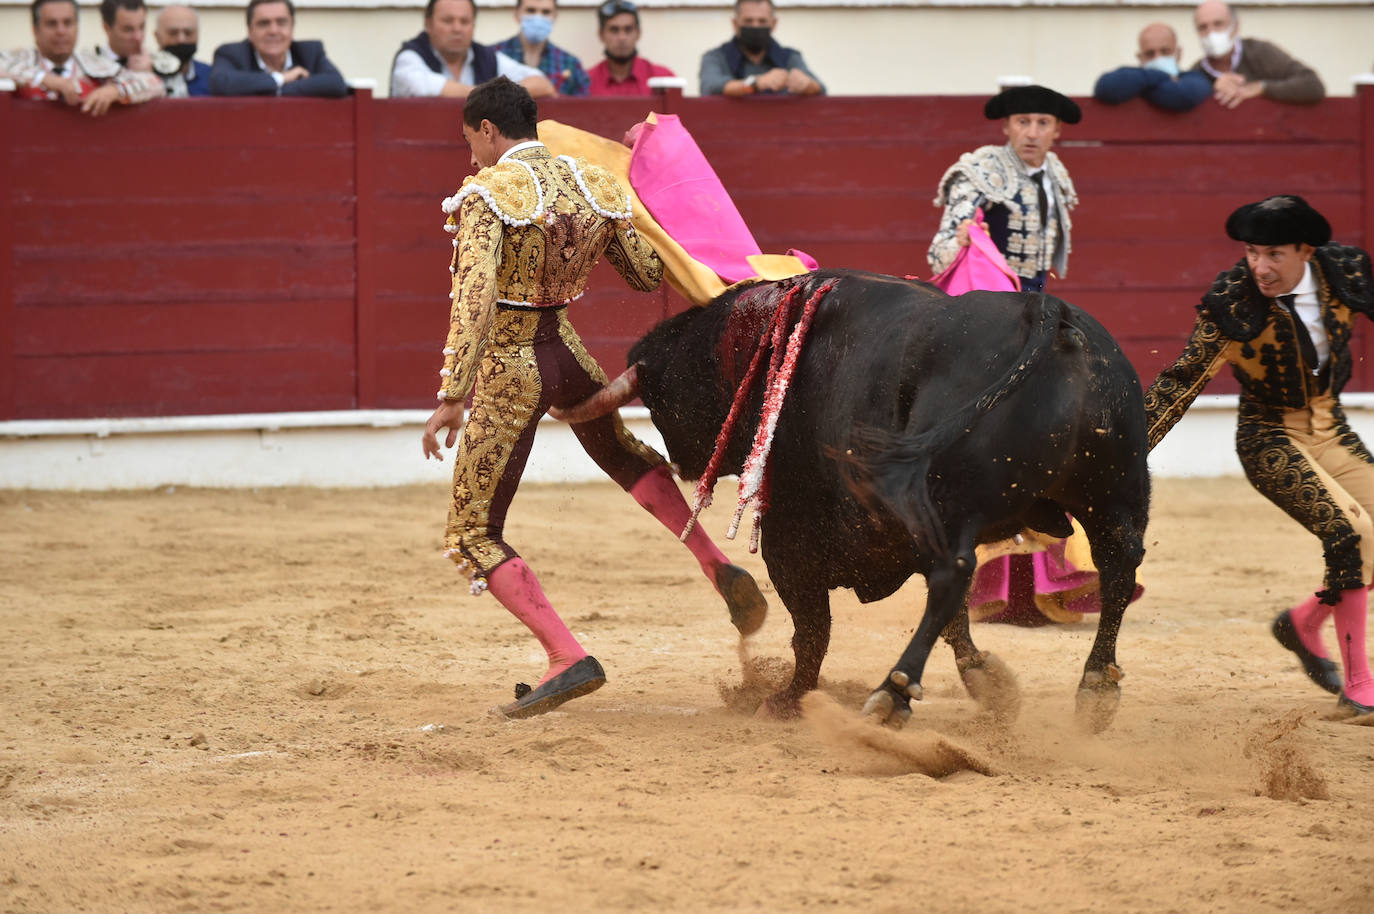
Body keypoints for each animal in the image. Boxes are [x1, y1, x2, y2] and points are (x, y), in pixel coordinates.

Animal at [557, 268, 1148, 731]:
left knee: (953, 574)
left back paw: (893, 693)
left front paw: (788, 699)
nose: (678, 461)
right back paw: (1096, 690)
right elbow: (953, 621)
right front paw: (987, 683)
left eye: (663, 400)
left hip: (952, 502)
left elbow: (811, 628)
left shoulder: (791, 537)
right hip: (1116, 493)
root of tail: (1045, 312)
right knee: (1118, 566)